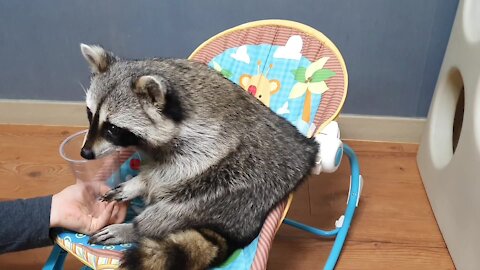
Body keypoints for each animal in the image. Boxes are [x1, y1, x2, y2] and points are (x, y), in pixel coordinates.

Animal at [79, 43, 318, 268]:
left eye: (113, 128)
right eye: (90, 114)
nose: (85, 153)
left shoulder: (210, 135)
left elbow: (183, 166)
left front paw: (144, 182)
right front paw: (137, 181)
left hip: (245, 188)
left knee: (181, 204)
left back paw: (135, 228)